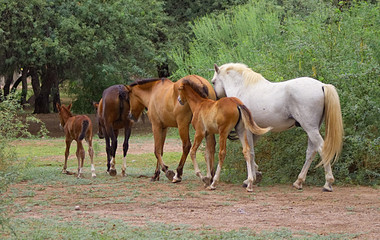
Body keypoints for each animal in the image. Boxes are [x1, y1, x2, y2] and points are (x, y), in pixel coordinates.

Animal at [211, 62, 344, 191]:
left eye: (213, 82)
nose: (215, 100)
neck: (243, 88)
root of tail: (322, 85)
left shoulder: (246, 130)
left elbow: (250, 152)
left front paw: (250, 180)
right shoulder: (256, 132)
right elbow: (252, 152)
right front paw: (255, 175)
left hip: (310, 129)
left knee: (322, 149)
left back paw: (328, 183)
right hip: (312, 130)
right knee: (311, 151)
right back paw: (298, 182)